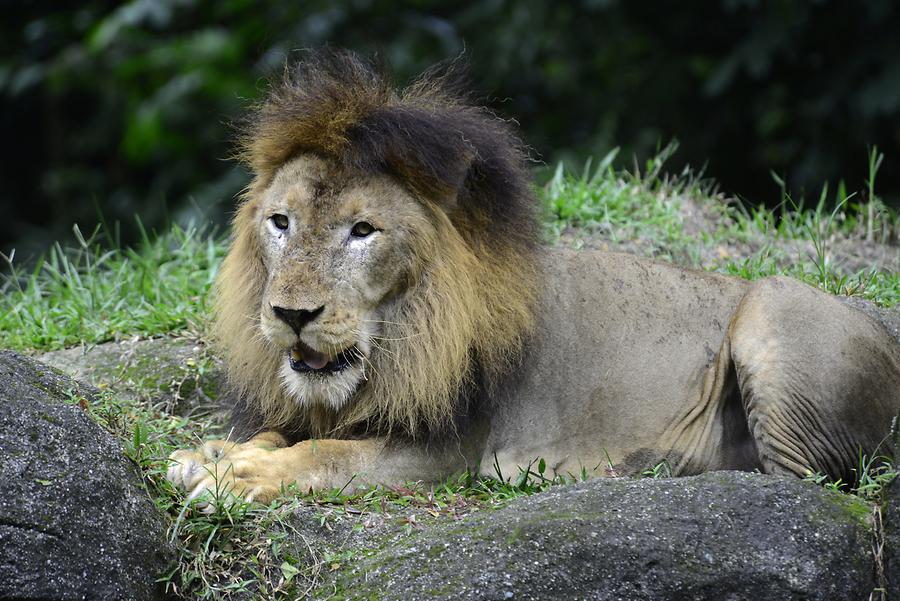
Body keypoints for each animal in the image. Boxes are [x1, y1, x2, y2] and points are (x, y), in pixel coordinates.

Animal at [165, 51, 896, 504]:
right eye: (280, 222)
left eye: (363, 230)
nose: (292, 315)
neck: (399, 339)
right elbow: (285, 431)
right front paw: (214, 453)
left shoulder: (451, 449)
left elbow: (328, 454)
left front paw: (244, 473)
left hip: (774, 304)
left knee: (797, 481)